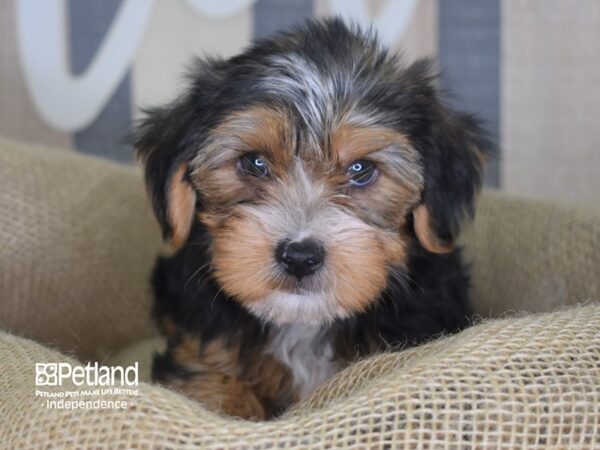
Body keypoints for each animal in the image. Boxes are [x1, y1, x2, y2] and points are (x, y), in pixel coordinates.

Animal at [135, 17, 488, 418]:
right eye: (254, 162)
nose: (299, 257)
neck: (302, 324)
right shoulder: (203, 354)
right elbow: (214, 393)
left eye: (361, 169)